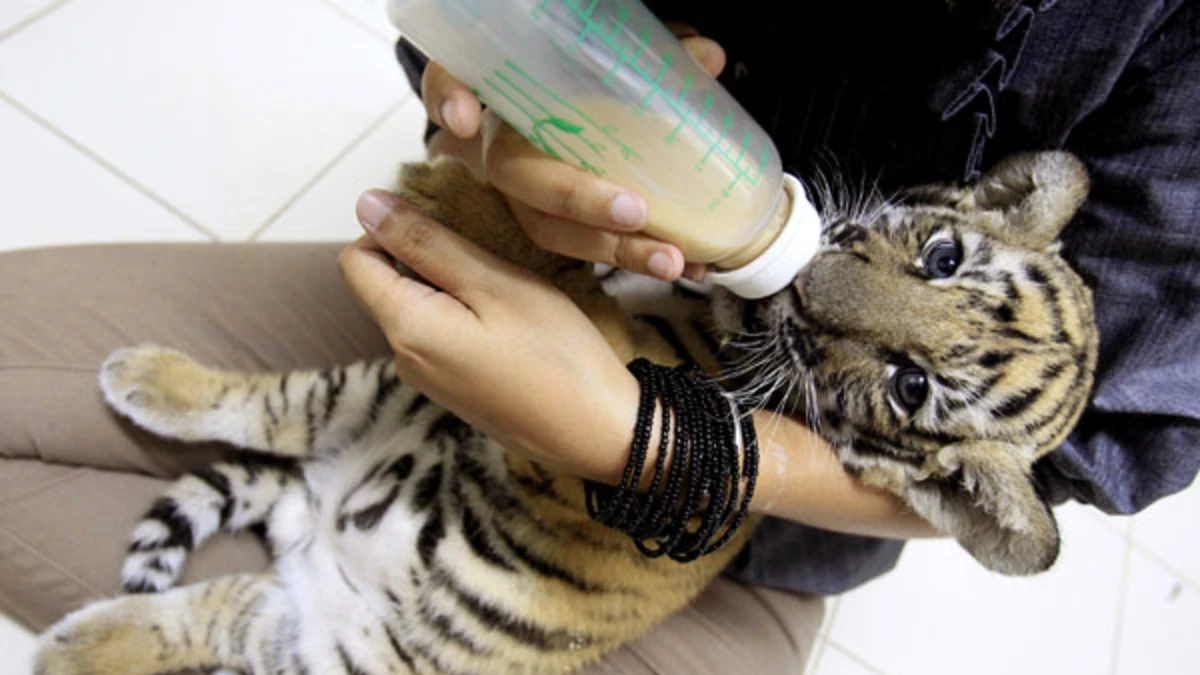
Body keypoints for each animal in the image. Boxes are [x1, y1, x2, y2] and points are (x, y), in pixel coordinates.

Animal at [33, 149, 1098, 675]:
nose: (808, 285)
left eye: (909, 384)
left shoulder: (605, 422)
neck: (725, 324)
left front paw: (461, 190)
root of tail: (317, 527)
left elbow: (567, 292)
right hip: (373, 397)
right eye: (942, 257)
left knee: (212, 614)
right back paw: (145, 378)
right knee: (269, 409)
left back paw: (64, 645)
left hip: (335, 654)